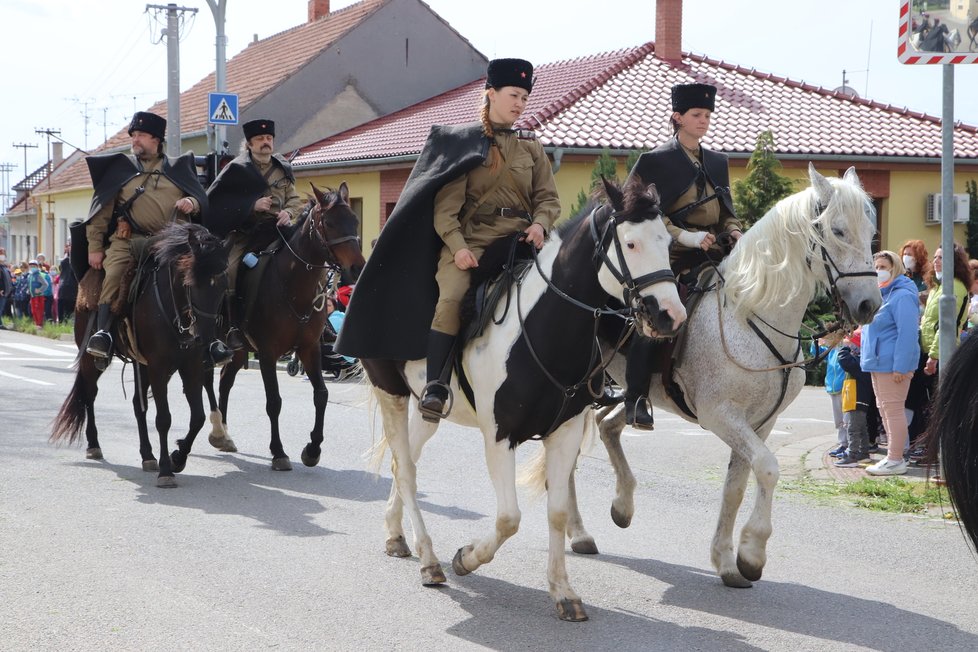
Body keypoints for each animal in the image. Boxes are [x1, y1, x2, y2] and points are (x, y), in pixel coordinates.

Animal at [52, 222, 231, 486]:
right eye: (190, 283)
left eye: (223, 284)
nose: (205, 338)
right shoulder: (158, 367)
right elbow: (164, 418)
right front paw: (166, 470)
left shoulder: (191, 367)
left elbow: (197, 417)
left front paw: (178, 458)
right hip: (91, 359)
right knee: (89, 394)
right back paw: (94, 444)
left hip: (142, 366)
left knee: (138, 405)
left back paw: (147, 455)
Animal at [204, 181, 364, 472]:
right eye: (330, 222)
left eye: (354, 220)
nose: (357, 268)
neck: (293, 285)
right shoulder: (268, 353)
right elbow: (274, 401)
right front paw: (278, 451)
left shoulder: (309, 349)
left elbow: (321, 394)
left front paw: (313, 449)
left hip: (239, 350)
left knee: (224, 382)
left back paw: (223, 434)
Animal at [362, 177, 684, 620]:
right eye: (631, 243)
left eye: (667, 241)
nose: (671, 316)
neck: (544, 328)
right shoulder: (500, 436)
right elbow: (509, 518)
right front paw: (465, 558)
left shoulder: (565, 432)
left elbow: (558, 512)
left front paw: (563, 592)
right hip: (390, 391)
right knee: (407, 471)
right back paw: (429, 561)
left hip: (426, 410)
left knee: (403, 460)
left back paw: (396, 535)